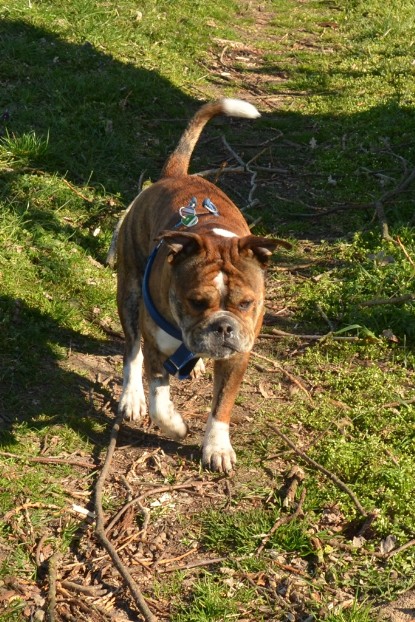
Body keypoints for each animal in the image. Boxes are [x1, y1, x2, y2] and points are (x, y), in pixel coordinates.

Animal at [115, 100, 290, 476]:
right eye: (195, 301)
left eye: (246, 303)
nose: (222, 326)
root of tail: (174, 175)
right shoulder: (157, 348)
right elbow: (159, 397)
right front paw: (175, 425)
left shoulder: (238, 357)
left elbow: (222, 405)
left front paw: (217, 447)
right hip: (130, 293)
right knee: (132, 350)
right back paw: (131, 396)